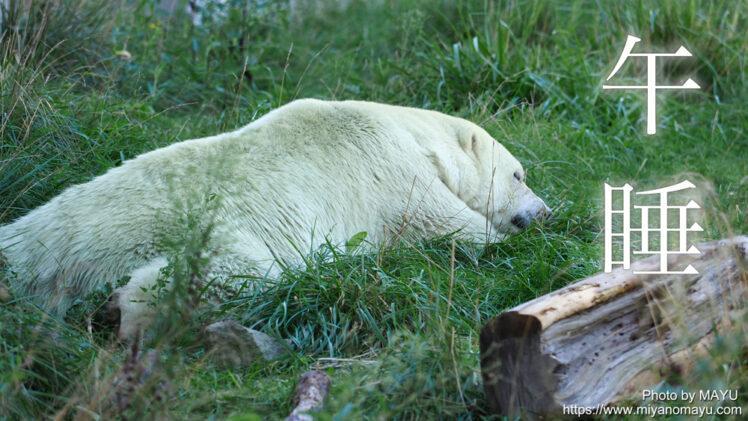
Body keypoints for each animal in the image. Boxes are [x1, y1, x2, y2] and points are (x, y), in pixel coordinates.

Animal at [0, 99, 549, 337]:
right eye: (518, 174)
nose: (544, 211)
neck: (411, 133)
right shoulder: (393, 173)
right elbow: (452, 228)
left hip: (29, 237)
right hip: (205, 234)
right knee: (235, 275)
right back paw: (127, 313)